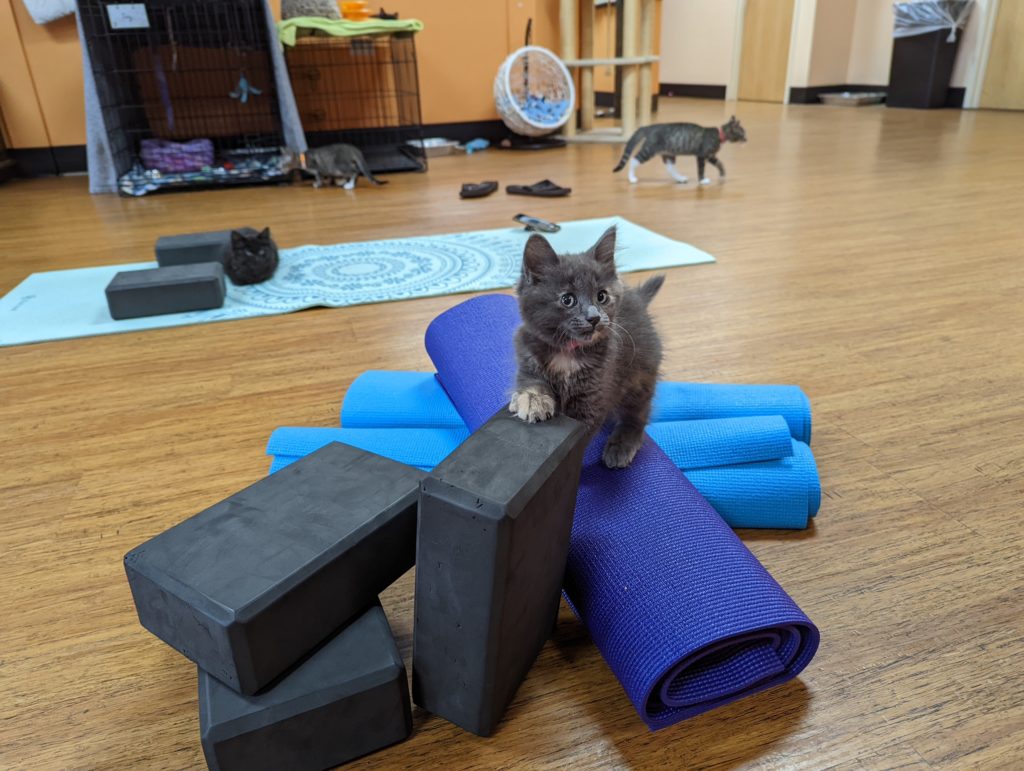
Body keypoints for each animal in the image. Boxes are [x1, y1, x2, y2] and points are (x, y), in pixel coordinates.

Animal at [509, 227, 663, 468]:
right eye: (567, 299)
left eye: (601, 296)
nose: (594, 317)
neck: (567, 351)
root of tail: (639, 299)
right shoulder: (527, 357)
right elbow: (531, 382)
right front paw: (532, 399)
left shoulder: (594, 397)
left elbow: (581, 437)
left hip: (640, 376)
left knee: (637, 413)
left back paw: (622, 444)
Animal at [610, 115, 749, 185]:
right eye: (742, 133)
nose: (747, 139)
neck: (719, 135)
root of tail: (648, 127)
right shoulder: (702, 155)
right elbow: (701, 169)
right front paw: (702, 180)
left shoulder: (710, 156)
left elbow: (719, 163)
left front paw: (722, 173)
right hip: (649, 150)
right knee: (634, 160)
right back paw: (632, 178)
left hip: (669, 153)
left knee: (670, 167)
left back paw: (680, 178)